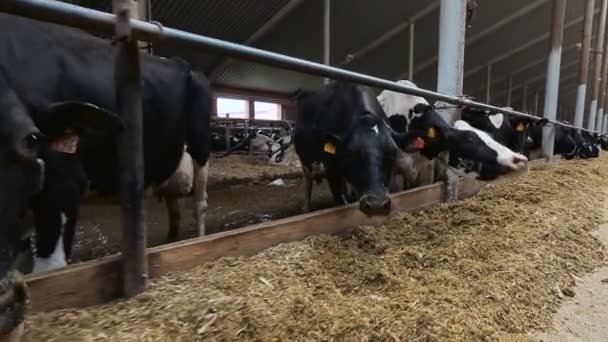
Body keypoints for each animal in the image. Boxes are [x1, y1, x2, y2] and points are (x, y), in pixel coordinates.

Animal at [0, 14, 213, 274]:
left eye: (30, 140)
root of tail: (182, 63)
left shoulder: (64, 182)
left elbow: (50, 268)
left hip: (200, 144)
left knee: (199, 202)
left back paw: (200, 240)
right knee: (174, 205)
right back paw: (172, 241)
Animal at [294, 81, 426, 214]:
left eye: (393, 153)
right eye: (351, 153)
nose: (376, 205)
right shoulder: (331, 169)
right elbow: (339, 198)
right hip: (305, 161)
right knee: (308, 181)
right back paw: (307, 208)